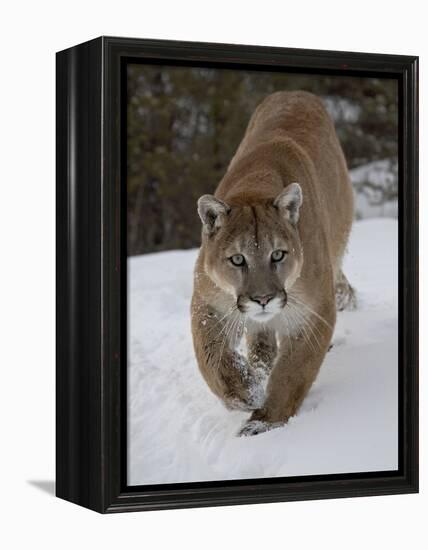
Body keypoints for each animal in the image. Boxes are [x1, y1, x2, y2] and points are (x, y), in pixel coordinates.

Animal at [191, 90, 354, 438]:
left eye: (278, 255)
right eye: (237, 259)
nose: (263, 299)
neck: (255, 185)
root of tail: (297, 92)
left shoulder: (313, 311)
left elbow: (292, 372)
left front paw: (264, 422)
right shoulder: (208, 302)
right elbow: (211, 358)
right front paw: (246, 392)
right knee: (261, 342)